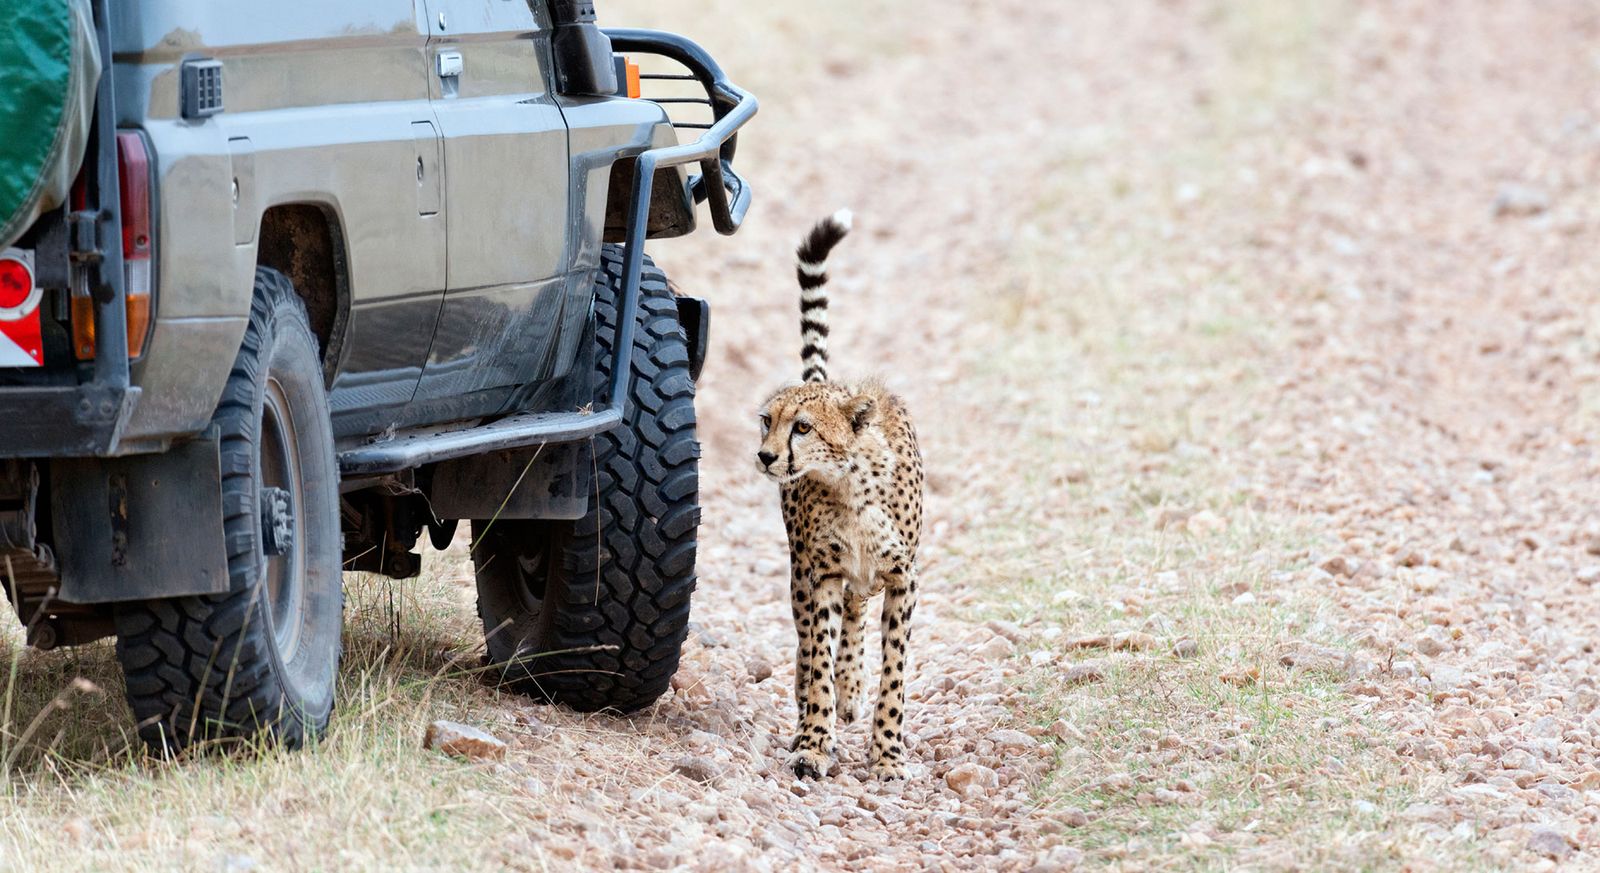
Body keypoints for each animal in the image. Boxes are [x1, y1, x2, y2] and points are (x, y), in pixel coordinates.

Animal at [758, 209, 928, 773]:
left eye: (802, 428)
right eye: (767, 422)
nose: (765, 456)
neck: (850, 486)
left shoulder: (901, 577)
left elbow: (894, 671)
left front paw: (888, 753)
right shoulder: (823, 574)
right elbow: (818, 659)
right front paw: (813, 741)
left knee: (856, 617)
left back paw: (852, 690)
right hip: (801, 574)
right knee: (811, 642)